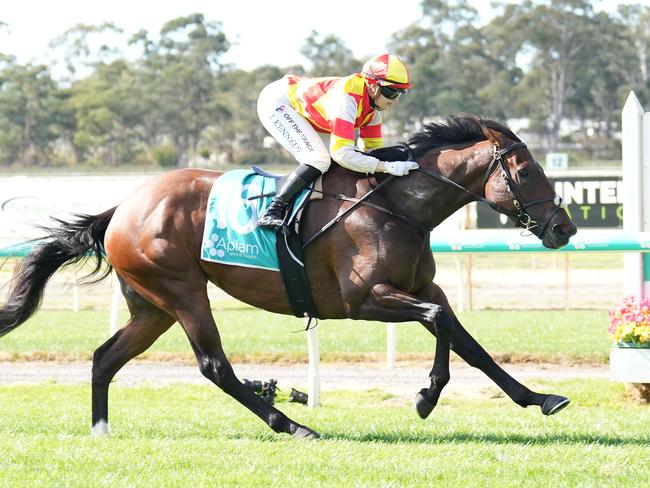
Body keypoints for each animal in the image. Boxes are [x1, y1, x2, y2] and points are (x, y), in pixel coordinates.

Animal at [1, 113, 576, 438]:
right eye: (527, 171)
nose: (564, 227)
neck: (396, 205)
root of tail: (121, 208)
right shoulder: (364, 299)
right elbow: (440, 321)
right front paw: (427, 396)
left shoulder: (418, 286)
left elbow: (464, 338)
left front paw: (539, 398)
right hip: (183, 293)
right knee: (214, 366)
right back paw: (294, 424)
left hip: (151, 306)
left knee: (105, 357)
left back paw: (100, 431)